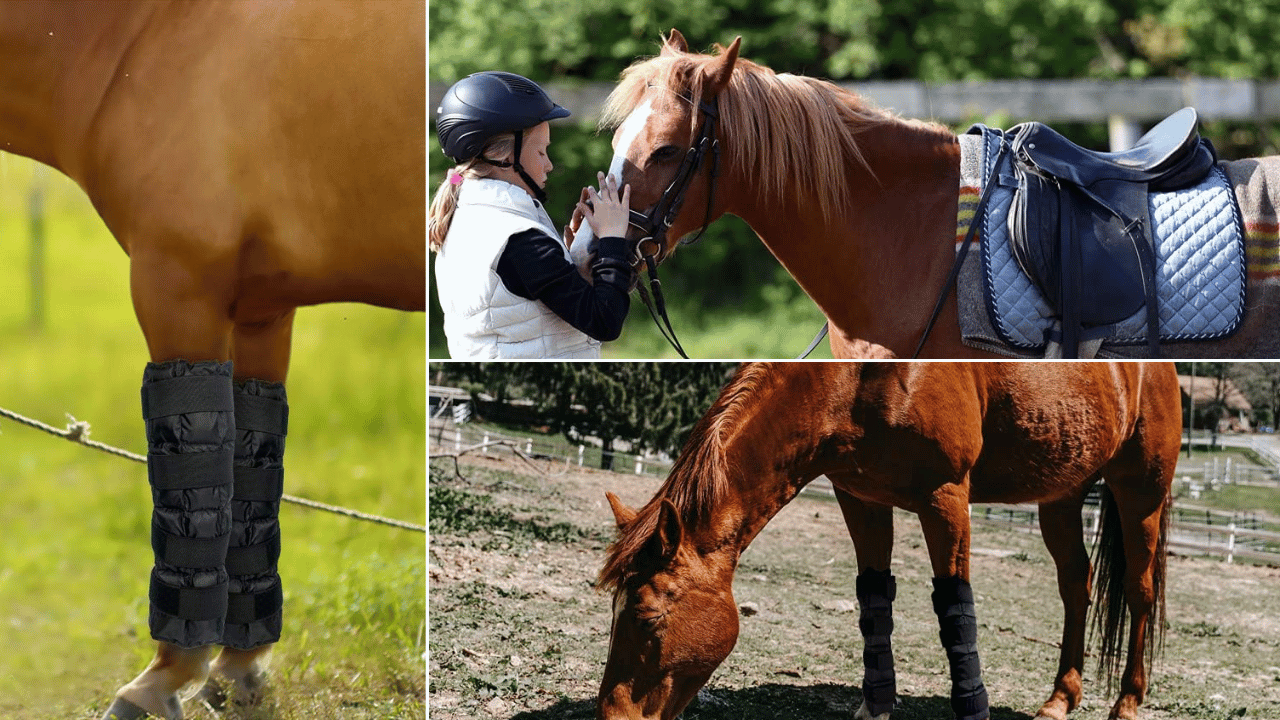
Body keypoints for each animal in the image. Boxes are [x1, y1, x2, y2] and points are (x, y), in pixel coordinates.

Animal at [0, 2, 427, 712]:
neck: (140, 35)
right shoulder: (260, 310)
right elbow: (247, 482)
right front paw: (237, 668)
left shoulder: (179, 285)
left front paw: (164, 679)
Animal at [599, 361, 1177, 717]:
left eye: (647, 617)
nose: (612, 714)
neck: (859, 378)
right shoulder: (860, 498)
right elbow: (874, 600)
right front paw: (875, 705)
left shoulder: (946, 497)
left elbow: (955, 609)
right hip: (1061, 495)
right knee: (1076, 587)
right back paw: (1060, 698)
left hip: (1141, 493)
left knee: (1140, 592)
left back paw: (1127, 702)